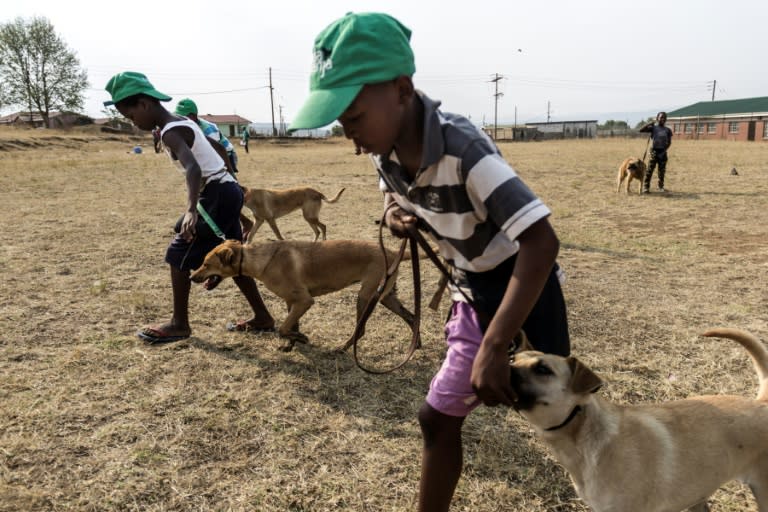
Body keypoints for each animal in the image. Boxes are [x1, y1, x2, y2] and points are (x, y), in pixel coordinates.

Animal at [188, 239, 414, 352]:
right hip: (386, 296)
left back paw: (342, 348)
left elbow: (283, 328)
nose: (191, 276)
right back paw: (416, 345)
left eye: (206, 264)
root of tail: (393, 252)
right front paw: (291, 344)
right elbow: (290, 327)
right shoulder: (292, 301)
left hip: (366, 297)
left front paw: (301, 339)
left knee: (361, 330)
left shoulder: (304, 301)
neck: (262, 259)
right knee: (411, 316)